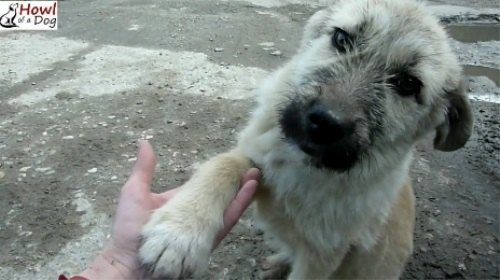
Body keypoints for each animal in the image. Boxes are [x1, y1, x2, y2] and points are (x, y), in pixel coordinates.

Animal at [137, 0, 472, 278]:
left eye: (407, 84)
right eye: (341, 39)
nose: (325, 123)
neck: (307, 170)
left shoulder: (323, 255)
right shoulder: (257, 156)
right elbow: (220, 165)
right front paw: (178, 233)